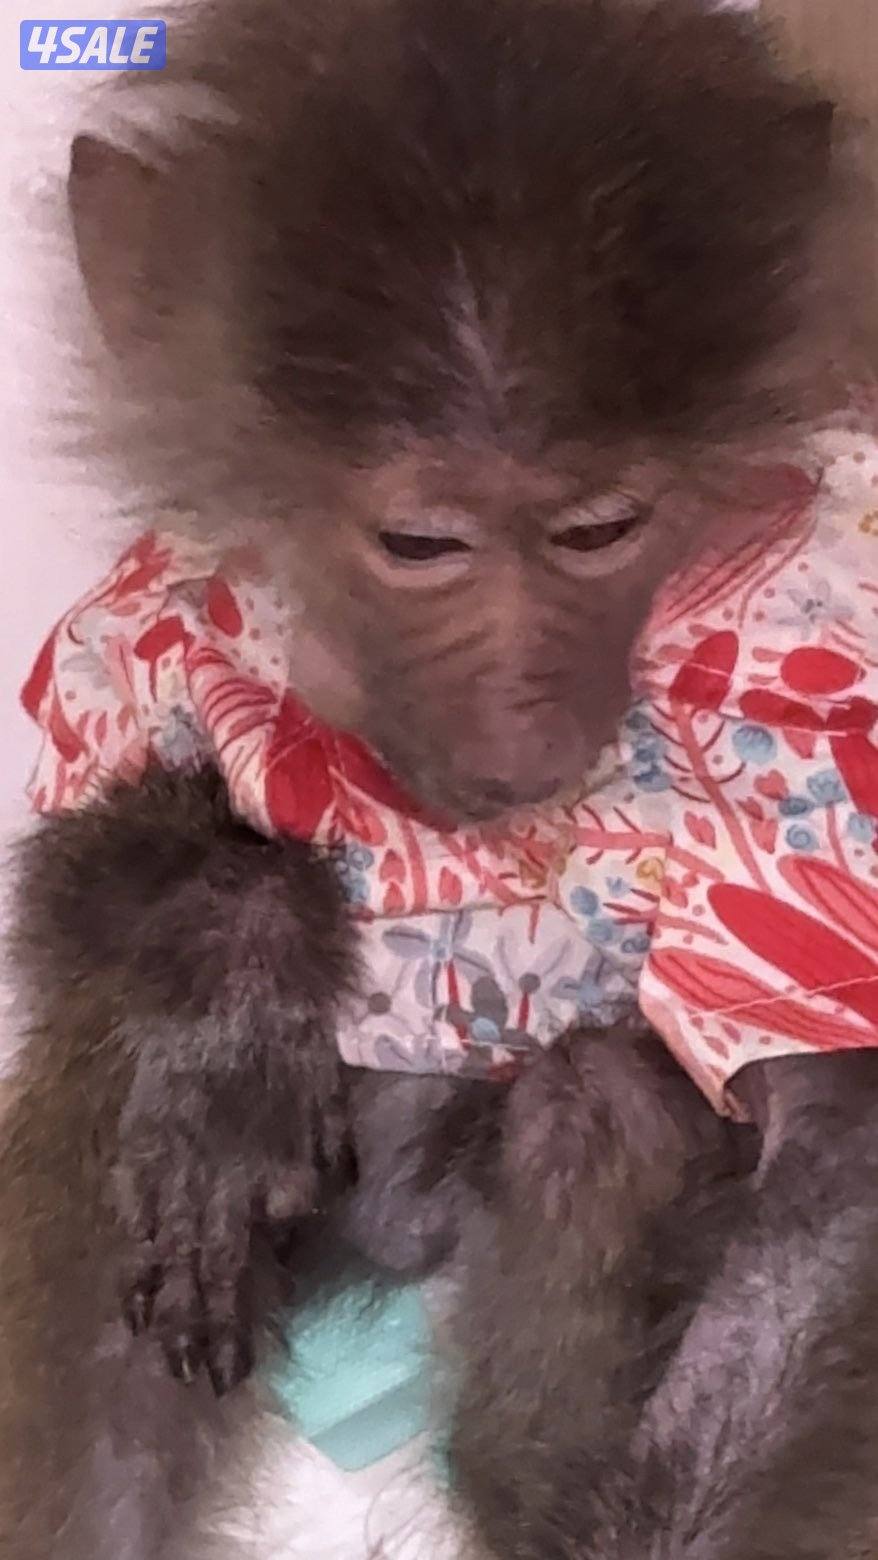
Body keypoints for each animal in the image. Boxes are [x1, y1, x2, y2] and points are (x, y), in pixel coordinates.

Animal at [1, 1, 877, 1557]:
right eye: (419, 544)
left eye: (600, 529)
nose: (522, 743)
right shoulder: (158, 610)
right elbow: (96, 824)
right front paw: (228, 986)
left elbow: (833, 1129)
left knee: (601, 1100)